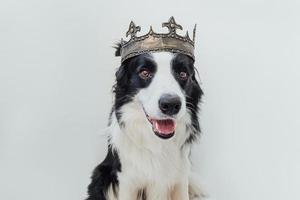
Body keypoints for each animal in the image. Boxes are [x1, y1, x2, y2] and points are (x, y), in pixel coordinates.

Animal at [86, 43, 204, 199]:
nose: (171, 104)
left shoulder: (181, 177)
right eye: (144, 72)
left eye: (183, 74)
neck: (157, 144)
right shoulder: (127, 180)